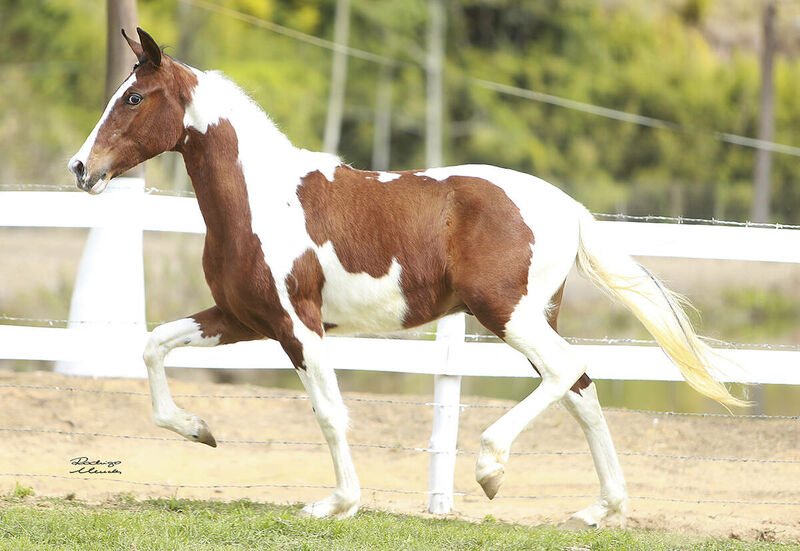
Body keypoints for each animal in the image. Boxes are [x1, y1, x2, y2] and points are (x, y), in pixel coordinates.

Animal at [69, 29, 744, 528]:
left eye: (134, 98)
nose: (80, 168)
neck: (260, 201)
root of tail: (568, 207)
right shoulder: (243, 318)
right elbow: (153, 345)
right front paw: (200, 430)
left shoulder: (298, 325)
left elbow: (329, 412)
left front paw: (335, 505)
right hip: (533, 317)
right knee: (580, 389)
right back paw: (597, 511)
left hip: (508, 315)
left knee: (567, 370)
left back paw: (492, 469)